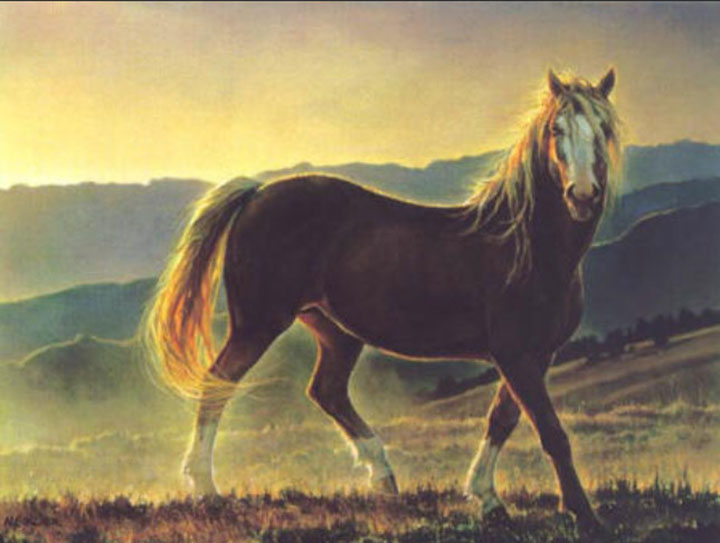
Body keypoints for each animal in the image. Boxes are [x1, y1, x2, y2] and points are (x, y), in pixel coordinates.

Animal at [143, 68, 621, 536]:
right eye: (556, 129)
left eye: (603, 128)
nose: (582, 195)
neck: (526, 247)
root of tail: (257, 192)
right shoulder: (514, 354)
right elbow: (550, 430)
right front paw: (584, 514)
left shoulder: (535, 354)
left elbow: (502, 420)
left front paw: (487, 499)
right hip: (258, 324)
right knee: (218, 382)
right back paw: (205, 488)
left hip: (334, 330)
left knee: (327, 390)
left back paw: (384, 477)